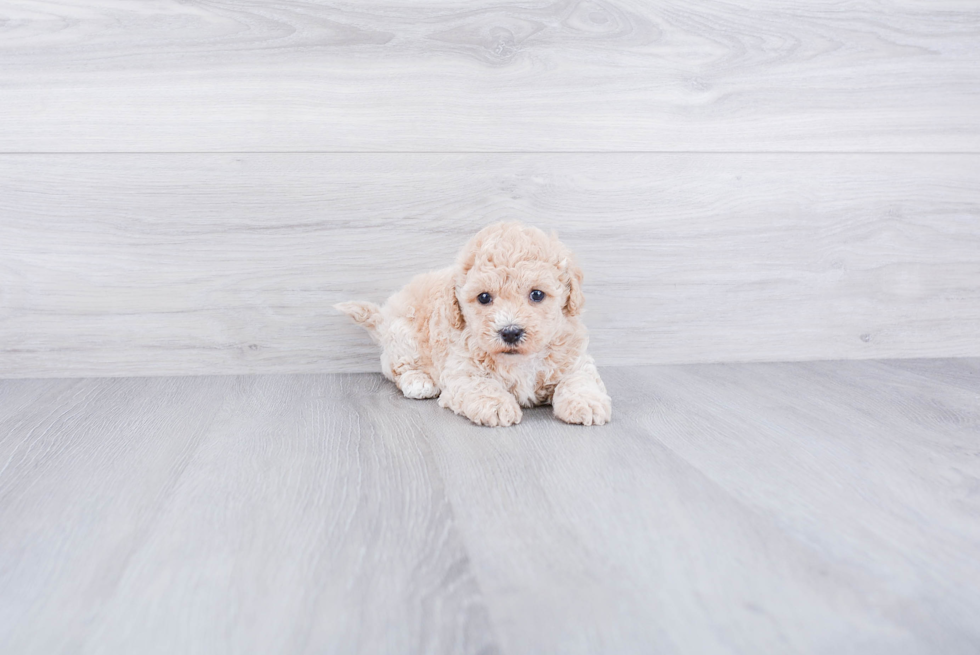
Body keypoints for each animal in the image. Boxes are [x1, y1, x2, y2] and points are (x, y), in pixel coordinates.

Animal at [338, 223, 612, 428]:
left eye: (537, 294)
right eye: (484, 297)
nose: (510, 332)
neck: (519, 360)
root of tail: (384, 316)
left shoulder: (575, 360)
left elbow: (579, 379)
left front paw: (586, 402)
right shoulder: (461, 370)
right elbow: (481, 385)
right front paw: (497, 405)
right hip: (404, 337)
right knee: (397, 368)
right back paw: (419, 381)